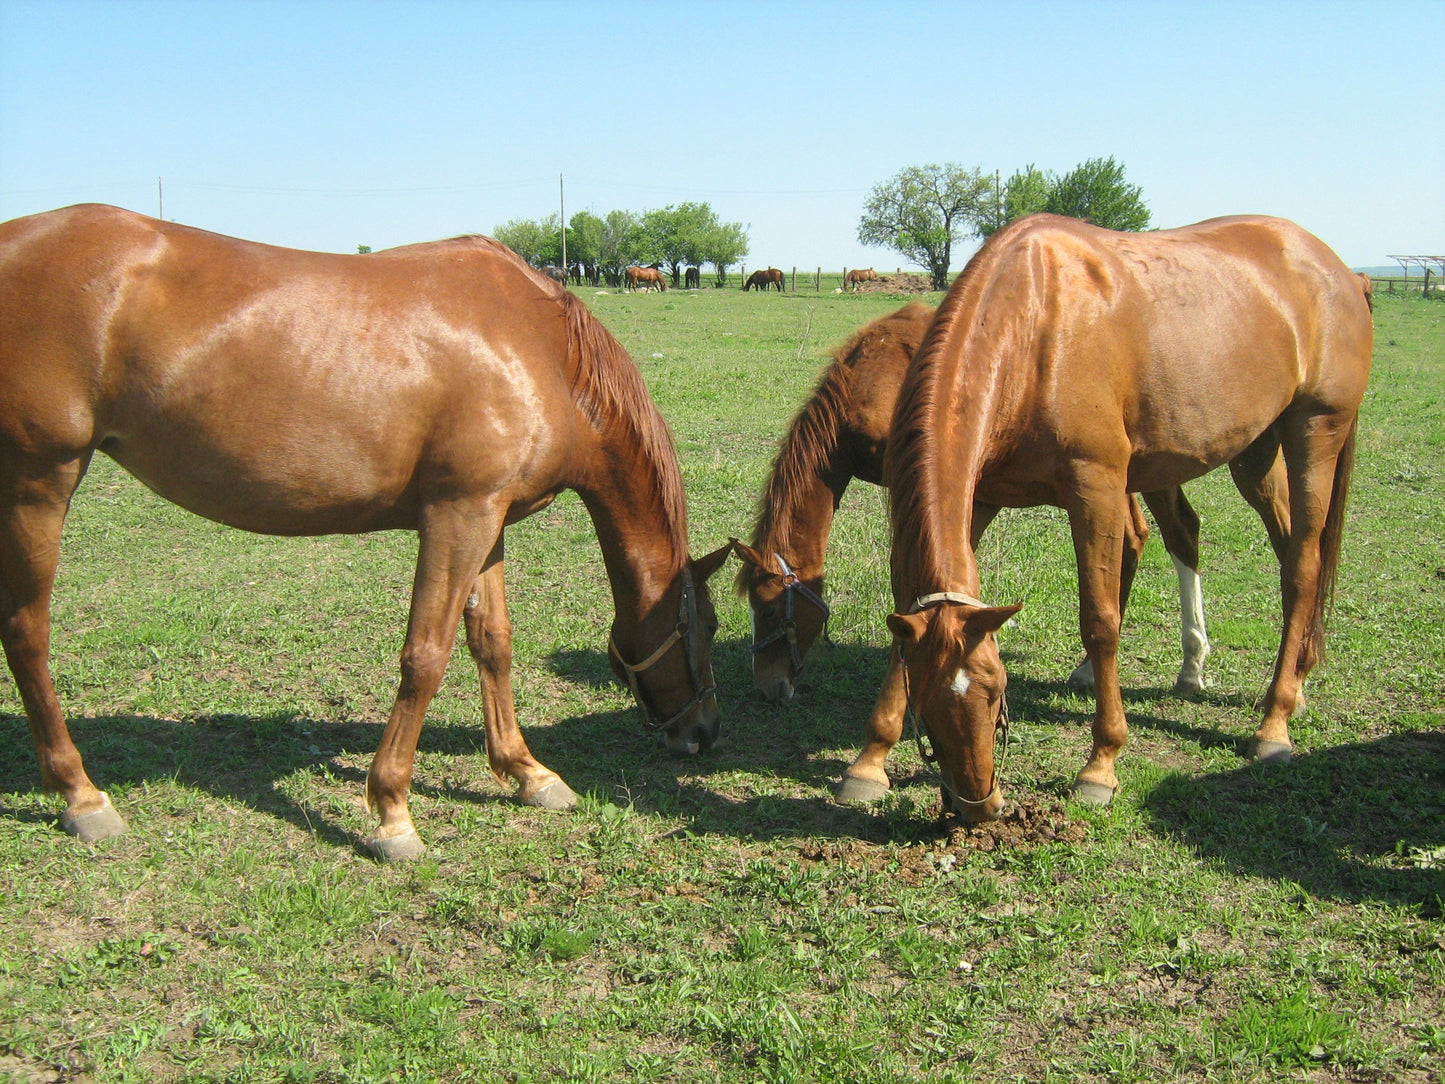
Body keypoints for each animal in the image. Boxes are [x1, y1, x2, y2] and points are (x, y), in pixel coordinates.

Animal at [0, 208, 728, 861]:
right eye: (708, 625)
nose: (704, 733)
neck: (538, 346)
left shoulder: (489, 520)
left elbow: (491, 644)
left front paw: (527, 773)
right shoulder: (457, 515)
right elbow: (425, 656)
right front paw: (392, 811)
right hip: (39, 482)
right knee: (26, 632)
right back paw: (81, 796)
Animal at [734, 302, 1300, 803]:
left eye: (771, 611)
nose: (767, 687)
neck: (875, 375)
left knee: (1231, 536)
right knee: (1151, 535)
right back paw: (1134, 667)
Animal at [878, 212, 1364, 820]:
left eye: (994, 690)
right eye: (925, 699)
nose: (978, 806)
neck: (1034, 328)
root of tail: (1340, 271)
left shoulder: (1097, 489)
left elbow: (1101, 621)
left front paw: (1101, 765)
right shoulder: (982, 498)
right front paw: (868, 761)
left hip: (1314, 438)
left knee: (1301, 569)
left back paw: (1274, 723)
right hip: (1253, 453)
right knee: (1270, 549)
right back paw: (1283, 677)